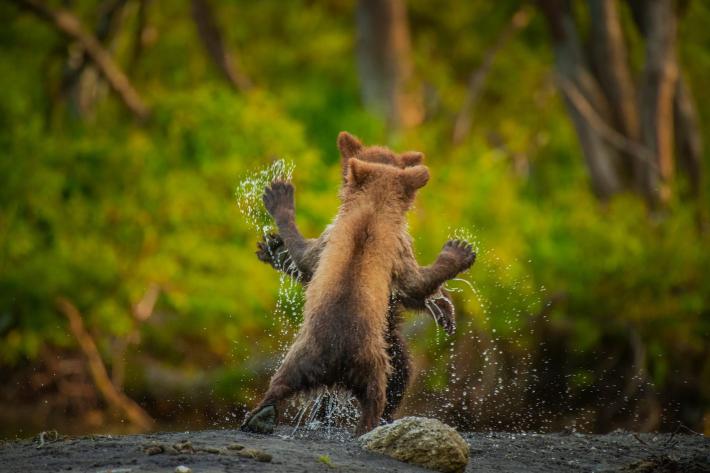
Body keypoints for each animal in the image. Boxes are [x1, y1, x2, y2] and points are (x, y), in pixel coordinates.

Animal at [242, 156, 475, 435]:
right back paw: (369, 425)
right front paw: (459, 251)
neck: (372, 209)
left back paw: (259, 415)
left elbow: (307, 259)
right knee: (380, 391)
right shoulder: (396, 248)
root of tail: (334, 365)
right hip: (372, 360)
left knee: (281, 380)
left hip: (302, 355)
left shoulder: (329, 239)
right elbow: (414, 283)